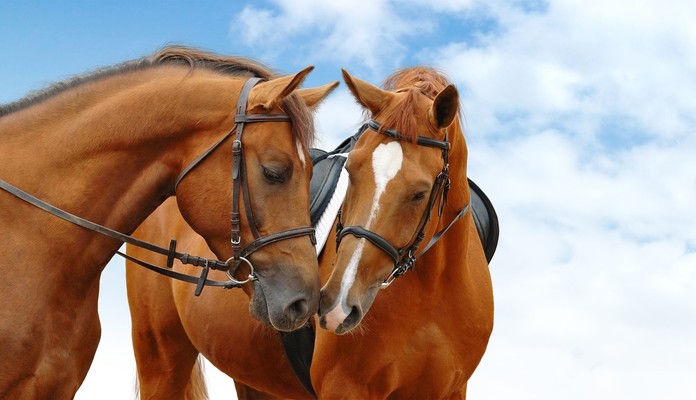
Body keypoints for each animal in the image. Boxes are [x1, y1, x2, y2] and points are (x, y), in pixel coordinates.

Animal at [126, 65, 494, 396]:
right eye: (351, 169)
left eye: (419, 193)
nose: (337, 305)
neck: (431, 290)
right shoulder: (345, 388)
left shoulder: (451, 390)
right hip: (161, 357)